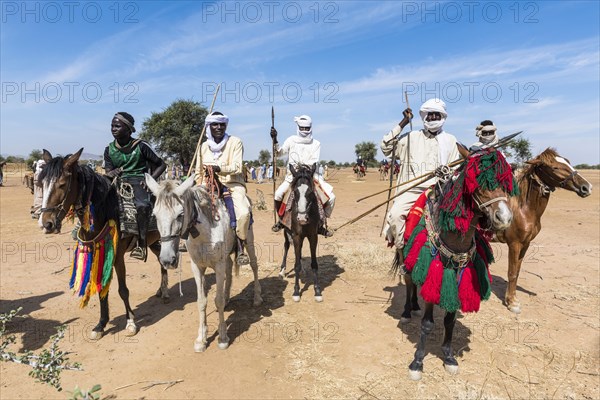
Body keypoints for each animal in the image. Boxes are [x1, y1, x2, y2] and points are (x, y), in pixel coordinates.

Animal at [39, 148, 172, 340]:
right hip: (153, 242)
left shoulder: (117, 257)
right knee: (162, 261)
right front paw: (100, 325)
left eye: (62, 184)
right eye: (41, 184)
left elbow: (123, 290)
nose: (46, 224)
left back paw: (166, 293)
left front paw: (130, 322)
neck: (107, 210)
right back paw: (162, 291)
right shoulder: (99, 253)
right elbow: (102, 289)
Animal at [146, 173, 262, 352]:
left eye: (180, 214)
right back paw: (228, 298)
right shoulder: (198, 267)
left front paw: (222, 338)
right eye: (154, 215)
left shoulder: (218, 266)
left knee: (254, 265)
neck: (203, 233)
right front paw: (201, 339)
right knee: (230, 269)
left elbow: (217, 300)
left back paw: (257, 298)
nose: (166, 260)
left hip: (249, 239)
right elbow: (201, 302)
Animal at [494, 147, 592, 312]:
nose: (586, 187)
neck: (522, 208)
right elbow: (512, 272)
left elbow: (517, 271)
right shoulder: (514, 244)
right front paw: (512, 303)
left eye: (568, 162)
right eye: (554, 168)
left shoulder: (525, 244)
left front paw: (511, 298)